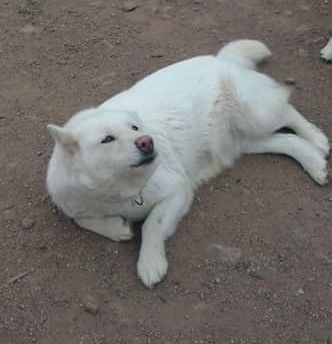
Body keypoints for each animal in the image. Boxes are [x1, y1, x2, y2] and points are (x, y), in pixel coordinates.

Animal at [46, 39, 330, 288]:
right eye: (107, 139)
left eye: (135, 128)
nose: (146, 142)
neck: (117, 190)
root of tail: (221, 58)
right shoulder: (71, 203)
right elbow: (83, 220)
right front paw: (117, 228)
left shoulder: (177, 190)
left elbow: (151, 225)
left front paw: (150, 263)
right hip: (244, 141)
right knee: (286, 140)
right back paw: (315, 163)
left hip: (255, 115)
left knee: (289, 112)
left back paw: (318, 139)